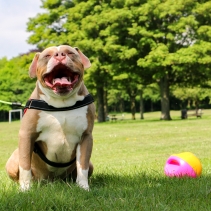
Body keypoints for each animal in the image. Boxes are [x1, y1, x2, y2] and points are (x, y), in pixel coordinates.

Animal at [5, 45, 95, 191]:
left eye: (70, 52)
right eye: (47, 56)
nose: (60, 54)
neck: (61, 103)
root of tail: (52, 181)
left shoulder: (86, 136)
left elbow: (83, 165)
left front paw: (83, 187)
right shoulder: (26, 135)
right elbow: (24, 165)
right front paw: (25, 189)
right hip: (12, 162)